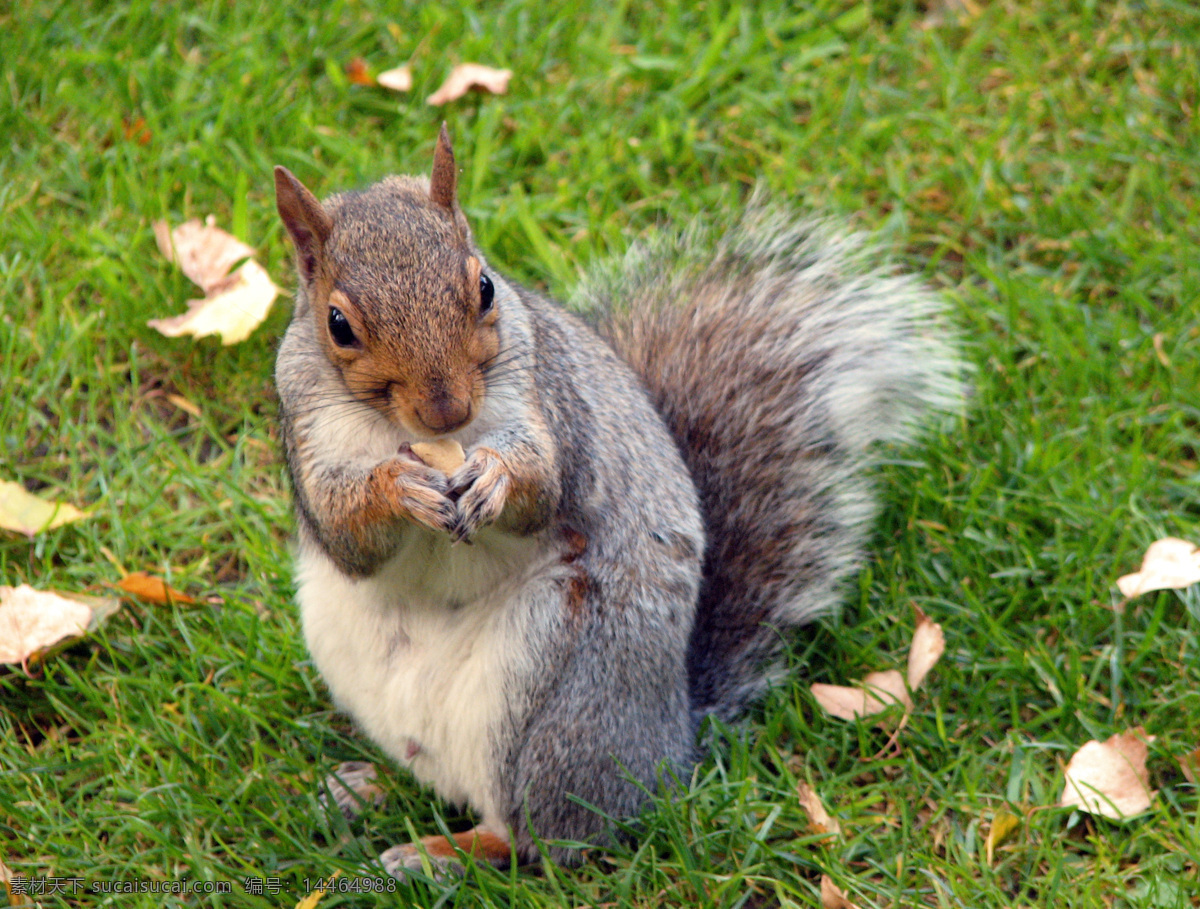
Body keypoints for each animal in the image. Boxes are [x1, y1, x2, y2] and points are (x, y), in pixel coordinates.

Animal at [274, 124, 964, 877]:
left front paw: (494, 477)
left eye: (485, 286)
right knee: (434, 774)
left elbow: (543, 486)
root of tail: (671, 745)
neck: (417, 437)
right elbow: (346, 534)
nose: (446, 410)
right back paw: (364, 787)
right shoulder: (307, 436)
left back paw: (437, 851)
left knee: (531, 834)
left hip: (561, 686)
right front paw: (398, 486)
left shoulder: (549, 400)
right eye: (338, 324)